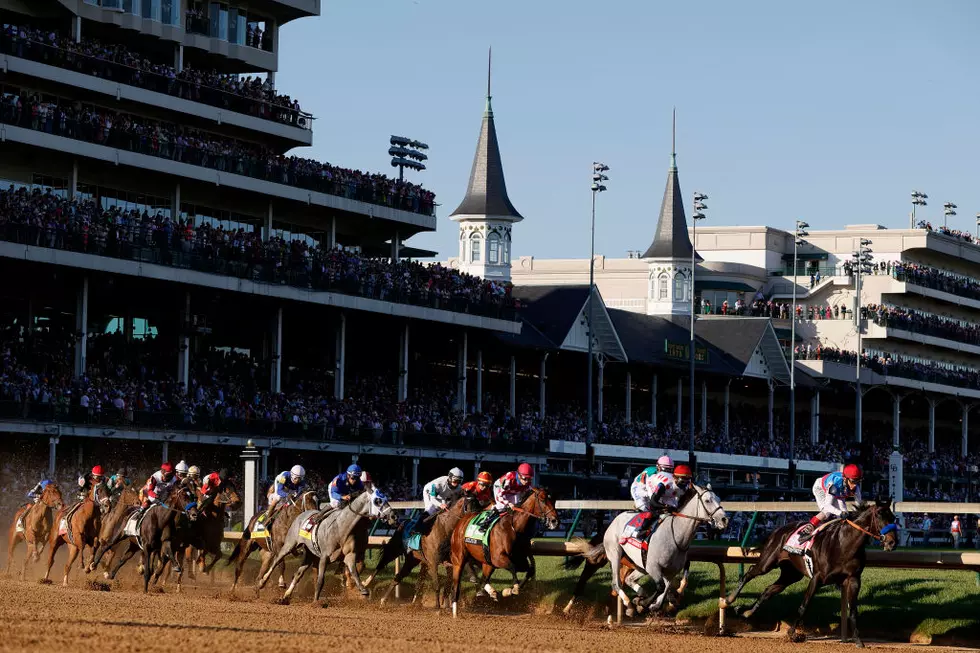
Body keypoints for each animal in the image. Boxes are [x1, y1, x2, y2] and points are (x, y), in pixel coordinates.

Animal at [260, 486, 402, 604]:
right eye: (377, 501)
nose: (394, 516)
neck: (342, 528)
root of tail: (300, 515)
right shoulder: (324, 557)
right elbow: (320, 580)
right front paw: (316, 602)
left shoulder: (350, 555)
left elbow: (354, 571)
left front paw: (362, 589)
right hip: (289, 545)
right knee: (276, 561)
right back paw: (262, 582)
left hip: (310, 554)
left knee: (298, 573)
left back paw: (285, 597)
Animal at [450, 488, 560, 616]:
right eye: (542, 499)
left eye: (554, 499)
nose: (555, 521)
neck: (515, 528)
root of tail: (462, 521)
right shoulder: (498, 558)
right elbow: (512, 567)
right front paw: (512, 589)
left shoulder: (519, 559)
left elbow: (530, 570)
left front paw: (511, 590)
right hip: (459, 558)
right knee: (456, 583)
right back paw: (455, 611)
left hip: (487, 562)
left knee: (484, 579)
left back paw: (491, 592)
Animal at [580, 484, 724, 616]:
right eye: (707, 500)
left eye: (719, 499)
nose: (724, 519)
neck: (676, 536)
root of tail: (613, 521)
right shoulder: (653, 567)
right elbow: (661, 587)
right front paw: (644, 604)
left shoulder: (670, 571)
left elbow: (667, 587)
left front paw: (654, 604)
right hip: (615, 555)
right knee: (616, 583)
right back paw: (630, 605)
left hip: (639, 564)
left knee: (629, 579)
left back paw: (639, 597)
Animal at [724, 500, 900, 640]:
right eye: (880, 516)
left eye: (893, 518)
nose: (892, 542)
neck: (844, 545)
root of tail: (778, 530)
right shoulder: (817, 578)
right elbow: (804, 605)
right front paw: (792, 633)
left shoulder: (854, 579)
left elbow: (853, 611)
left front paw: (858, 640)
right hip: (768, 562)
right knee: (749, 573)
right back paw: (730, 599)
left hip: (791, 574)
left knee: (769, 590)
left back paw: (747, 612)